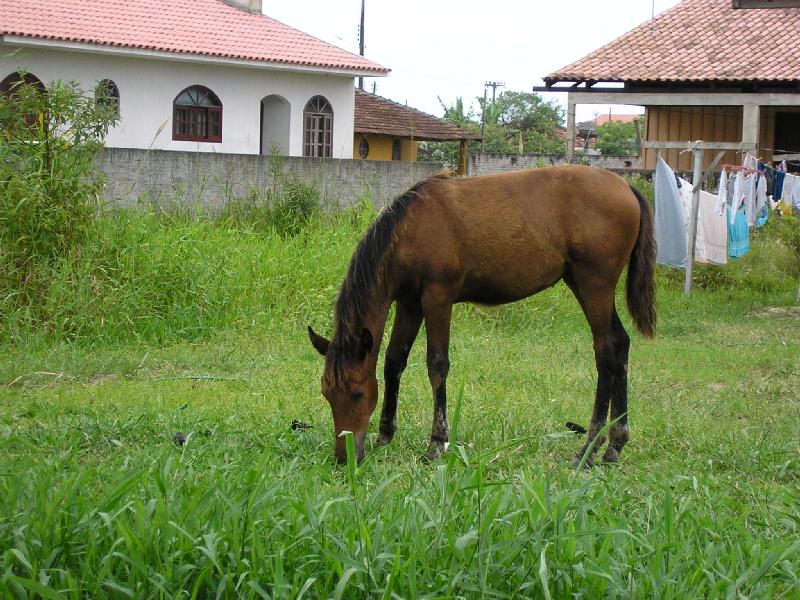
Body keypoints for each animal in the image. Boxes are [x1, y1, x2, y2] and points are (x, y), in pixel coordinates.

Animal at [308, 165, 656, 466]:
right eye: (327, 393)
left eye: (356, 394)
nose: (343, 457)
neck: (409, 228)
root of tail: (626, 187)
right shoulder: (409, 304)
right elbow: (394, 362)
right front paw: (385, 434)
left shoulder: (437, 298)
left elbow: (437, 365)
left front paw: (437, 442)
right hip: (582, 284)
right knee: (619, 345)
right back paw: (614, 444)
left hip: (594, 285)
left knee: (606, 352)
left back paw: (589, 447)